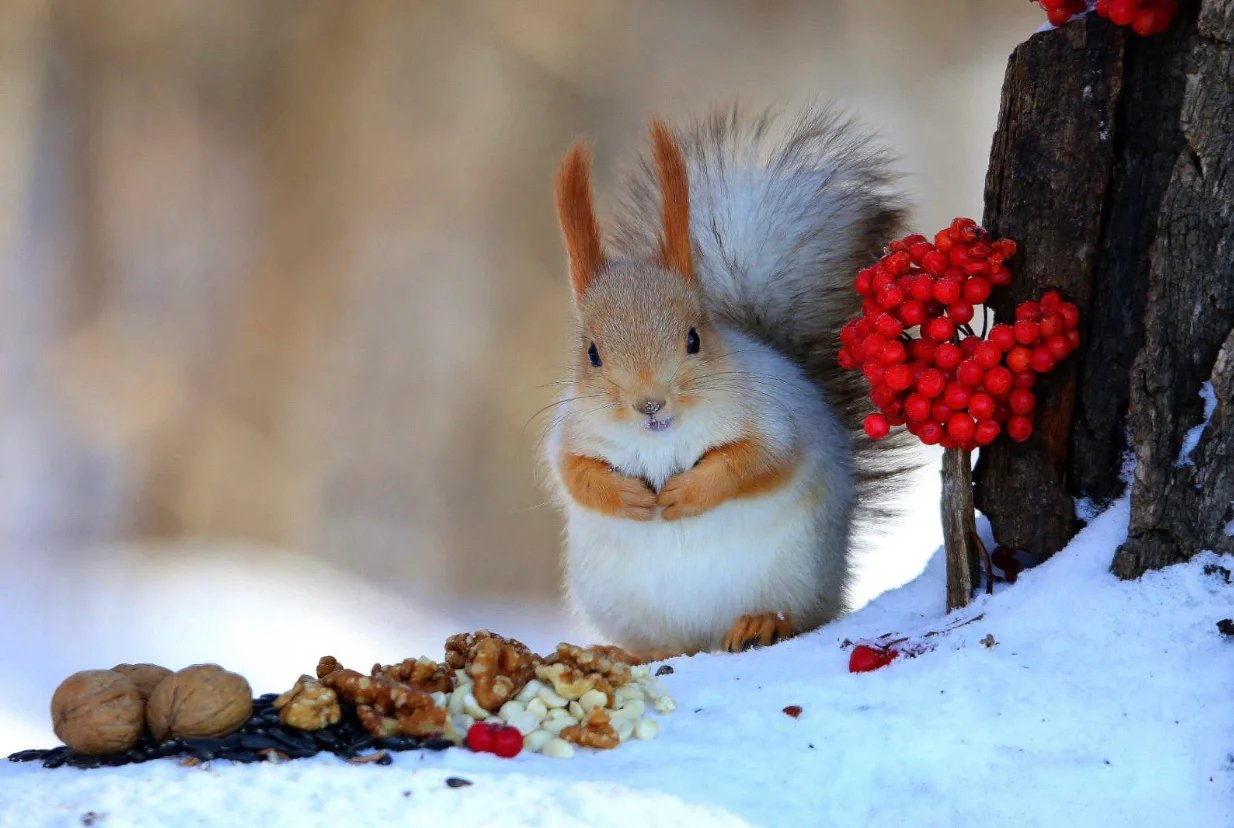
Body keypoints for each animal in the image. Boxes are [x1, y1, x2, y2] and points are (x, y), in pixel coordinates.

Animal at [545, 106, 913, 661]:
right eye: (592, 353)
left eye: (694, 338)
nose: (650, 404)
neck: (661, 440)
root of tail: (705, 639)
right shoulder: (571, 433)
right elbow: (576, 475)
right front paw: (627, 497)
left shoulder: (775, 417)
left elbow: (758, 460)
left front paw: (688, 492)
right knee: (665, 646)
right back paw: (636, 653)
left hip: (796, 576)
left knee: (795, 615)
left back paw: (760, 623)